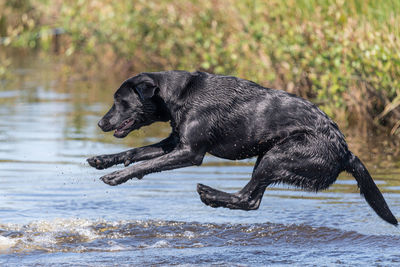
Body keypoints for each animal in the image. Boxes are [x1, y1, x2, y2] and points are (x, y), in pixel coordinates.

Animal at [86, 70, 396, 226]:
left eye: (120, 101)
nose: (100, 123)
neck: (179, 94)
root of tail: (346, 151)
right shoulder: (175, 143)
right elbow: (137, 153)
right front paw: (103, 160)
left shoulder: (190, 152)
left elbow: (145, 163)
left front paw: (115, 177)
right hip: (268, 156)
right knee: (252, 198)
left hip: (278, 156)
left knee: (248, 198)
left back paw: (209, 194)